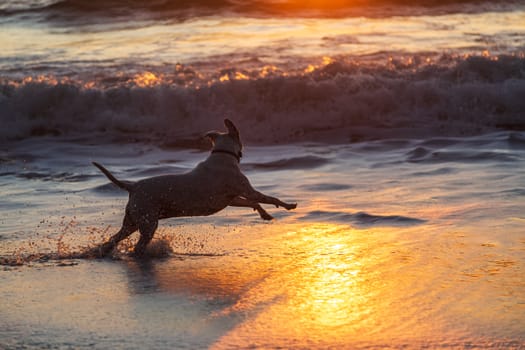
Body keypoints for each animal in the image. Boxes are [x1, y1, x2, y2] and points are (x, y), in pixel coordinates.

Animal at [92, 119, 296, 256]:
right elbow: (267, 197)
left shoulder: (232, 199)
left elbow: (252, 203)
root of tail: (133, 186)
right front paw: (288, 205)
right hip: (148, 221)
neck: (223, 155)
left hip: (132, 221)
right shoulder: (247, 190)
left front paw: (265, 214)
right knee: (138, 244)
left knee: (114, 239)